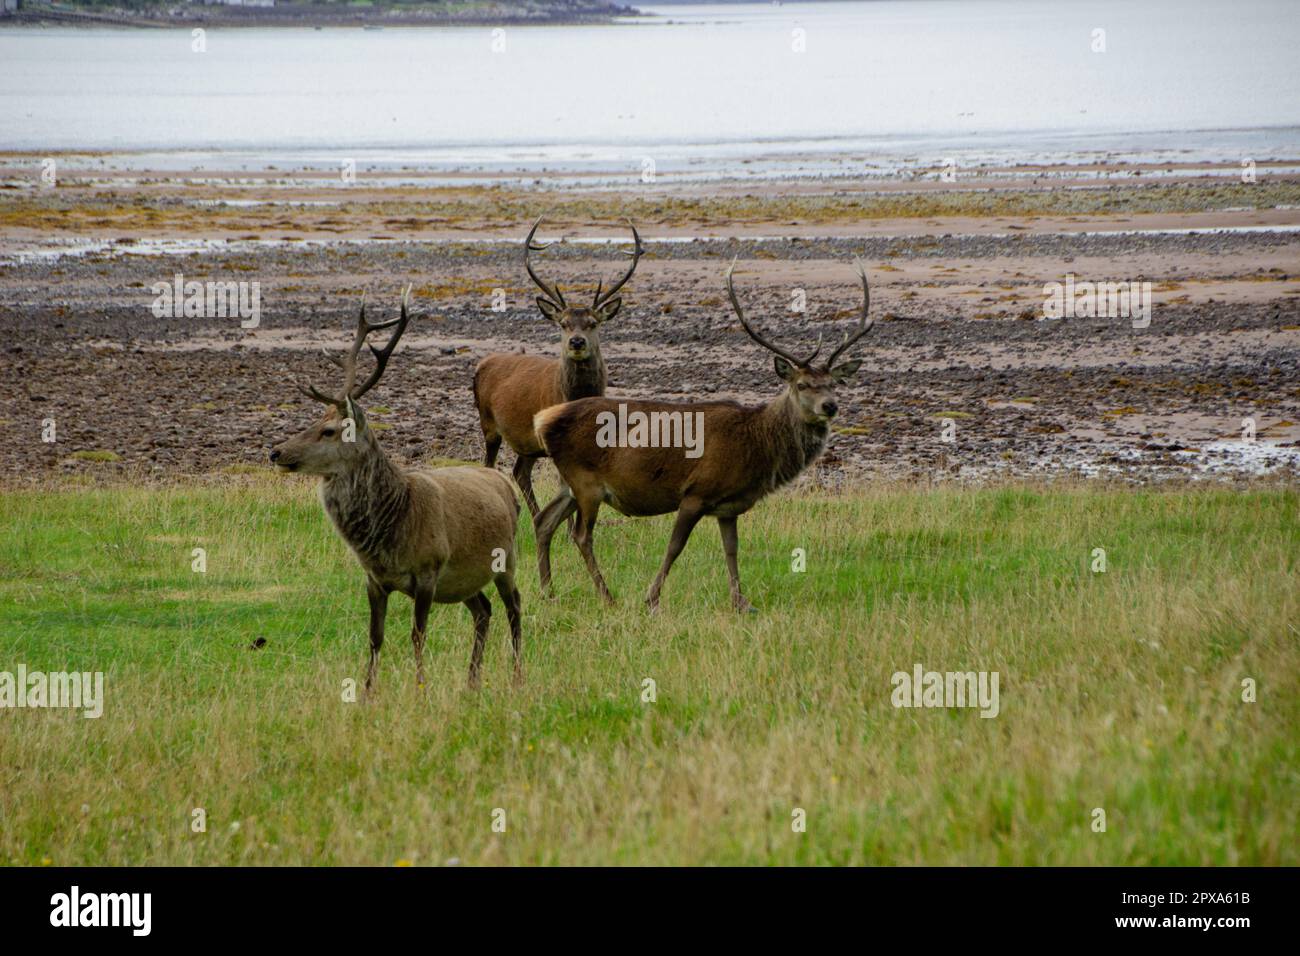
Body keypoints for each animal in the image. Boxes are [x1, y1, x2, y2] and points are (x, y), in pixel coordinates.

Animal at [270, 288, 523, 692]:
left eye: (329, 430)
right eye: (313, 421)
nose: (276, 451)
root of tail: (503, 482)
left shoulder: (428, 571)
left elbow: (417, 635)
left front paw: (420, 688)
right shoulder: (374, 580)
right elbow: (375, 637)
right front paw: (368, 692)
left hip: (506, 558)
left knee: (514, 606)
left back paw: (517, 676)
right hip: (464, 579)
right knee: (483, 610)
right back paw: (472, 681)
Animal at [472, 216, 644, 519]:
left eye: (593, 323)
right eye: (563, 324)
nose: (576, 341)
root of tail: (482, 363)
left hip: (526, 442)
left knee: (520, 472)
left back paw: (534, 515)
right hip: (488, 423)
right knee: (490, 465)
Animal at [531, 258, 872, 613]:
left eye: (834, 384)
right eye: (802, 384)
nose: (830, 406)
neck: (757, 446)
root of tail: (542, 420)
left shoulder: (729, 506)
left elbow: (731, 549)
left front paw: (741, 602)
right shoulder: (696, 492)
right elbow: (675, 546)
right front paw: (651, 598)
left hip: (569, 483)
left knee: (544, 520)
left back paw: (548, 591)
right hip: (586, 482)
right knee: (581, 535)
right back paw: (607, 596)